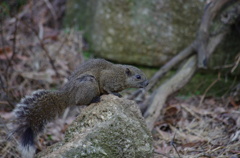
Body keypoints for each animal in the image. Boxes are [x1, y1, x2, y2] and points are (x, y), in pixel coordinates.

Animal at [12, 59, 149, 158]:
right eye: (138, 77)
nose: (147, 83)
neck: (121, 75)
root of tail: (68, 95)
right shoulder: (107, 78)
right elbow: (108, 87)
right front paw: (115, 94)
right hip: (89, 83)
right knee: (80, 101)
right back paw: (94, 99)